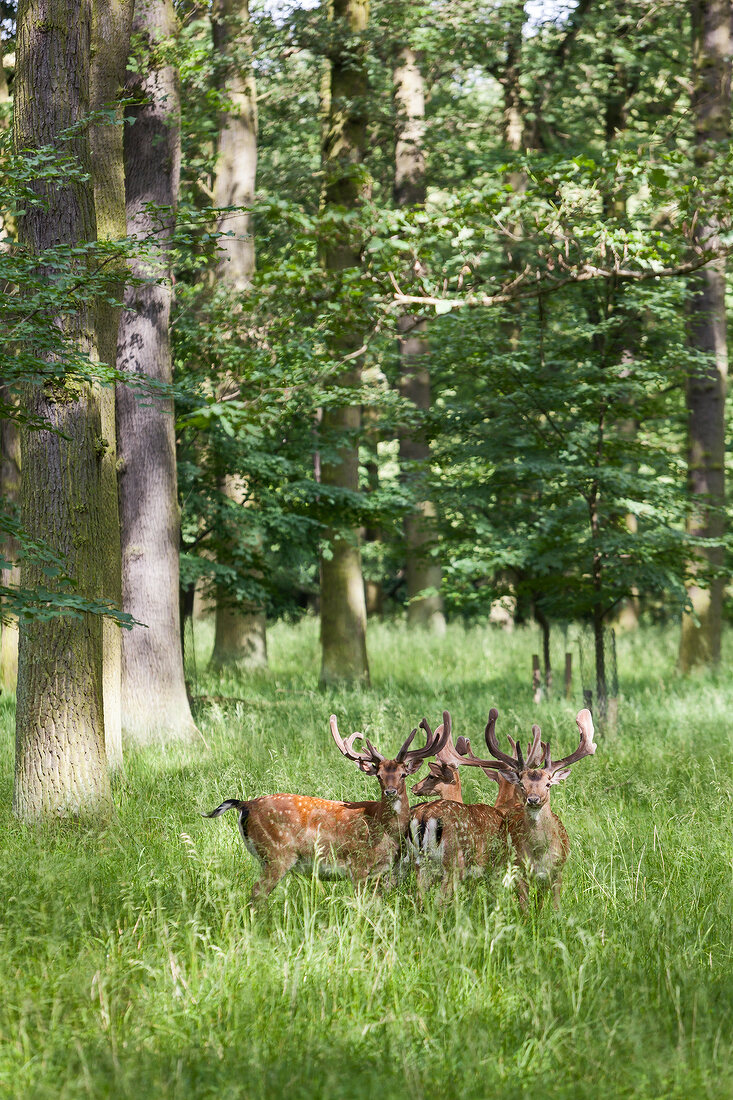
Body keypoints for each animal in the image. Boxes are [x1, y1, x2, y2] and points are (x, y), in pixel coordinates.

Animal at [202, 712, 449, 902]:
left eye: (403, 774)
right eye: (378, 775)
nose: (390, 791)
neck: (385, 830)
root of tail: (244, 804)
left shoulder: (379, 873)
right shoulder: (358, 866)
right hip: (277, 853)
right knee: (256, 894)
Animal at [457, 708, 594, 906]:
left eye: (548, 784)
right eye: (522, 784)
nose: (533, 799)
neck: (539, 855)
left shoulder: (557, 871)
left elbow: (554, 906)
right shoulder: (520, 872)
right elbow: (525, 908)